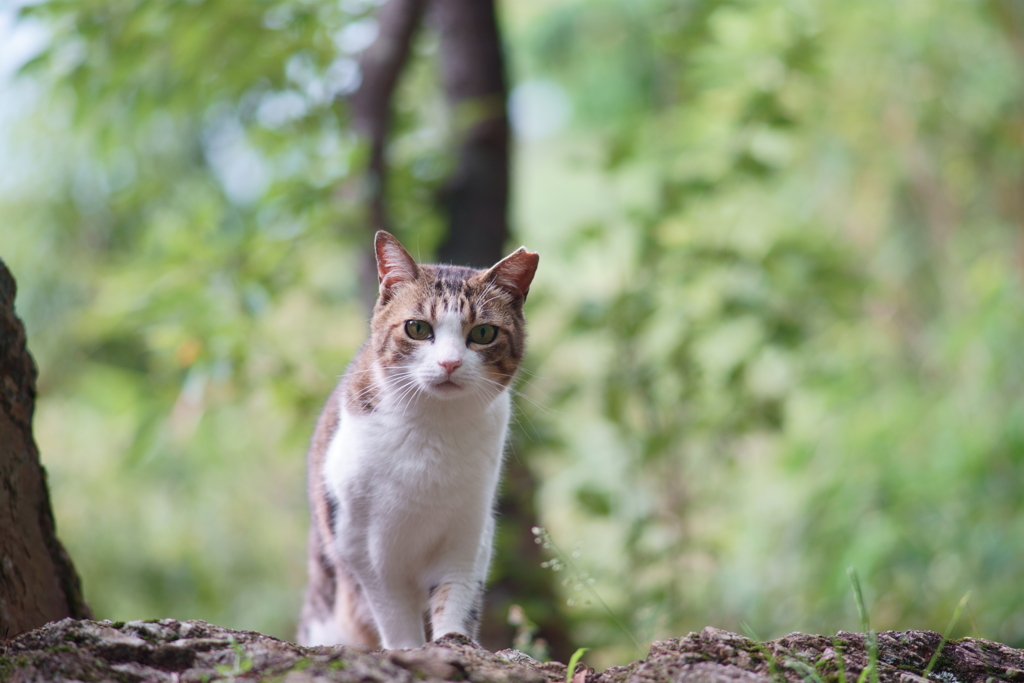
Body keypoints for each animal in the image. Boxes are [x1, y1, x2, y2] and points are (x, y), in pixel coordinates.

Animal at [296, 231, 540, 651]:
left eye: (483, 333)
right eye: (417, 328)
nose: (449, 363)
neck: (433, 429)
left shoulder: (471, 528)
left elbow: (455, 591)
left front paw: (454, 640)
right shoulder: (360, 544)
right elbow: (394, 612)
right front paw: (408, 648)